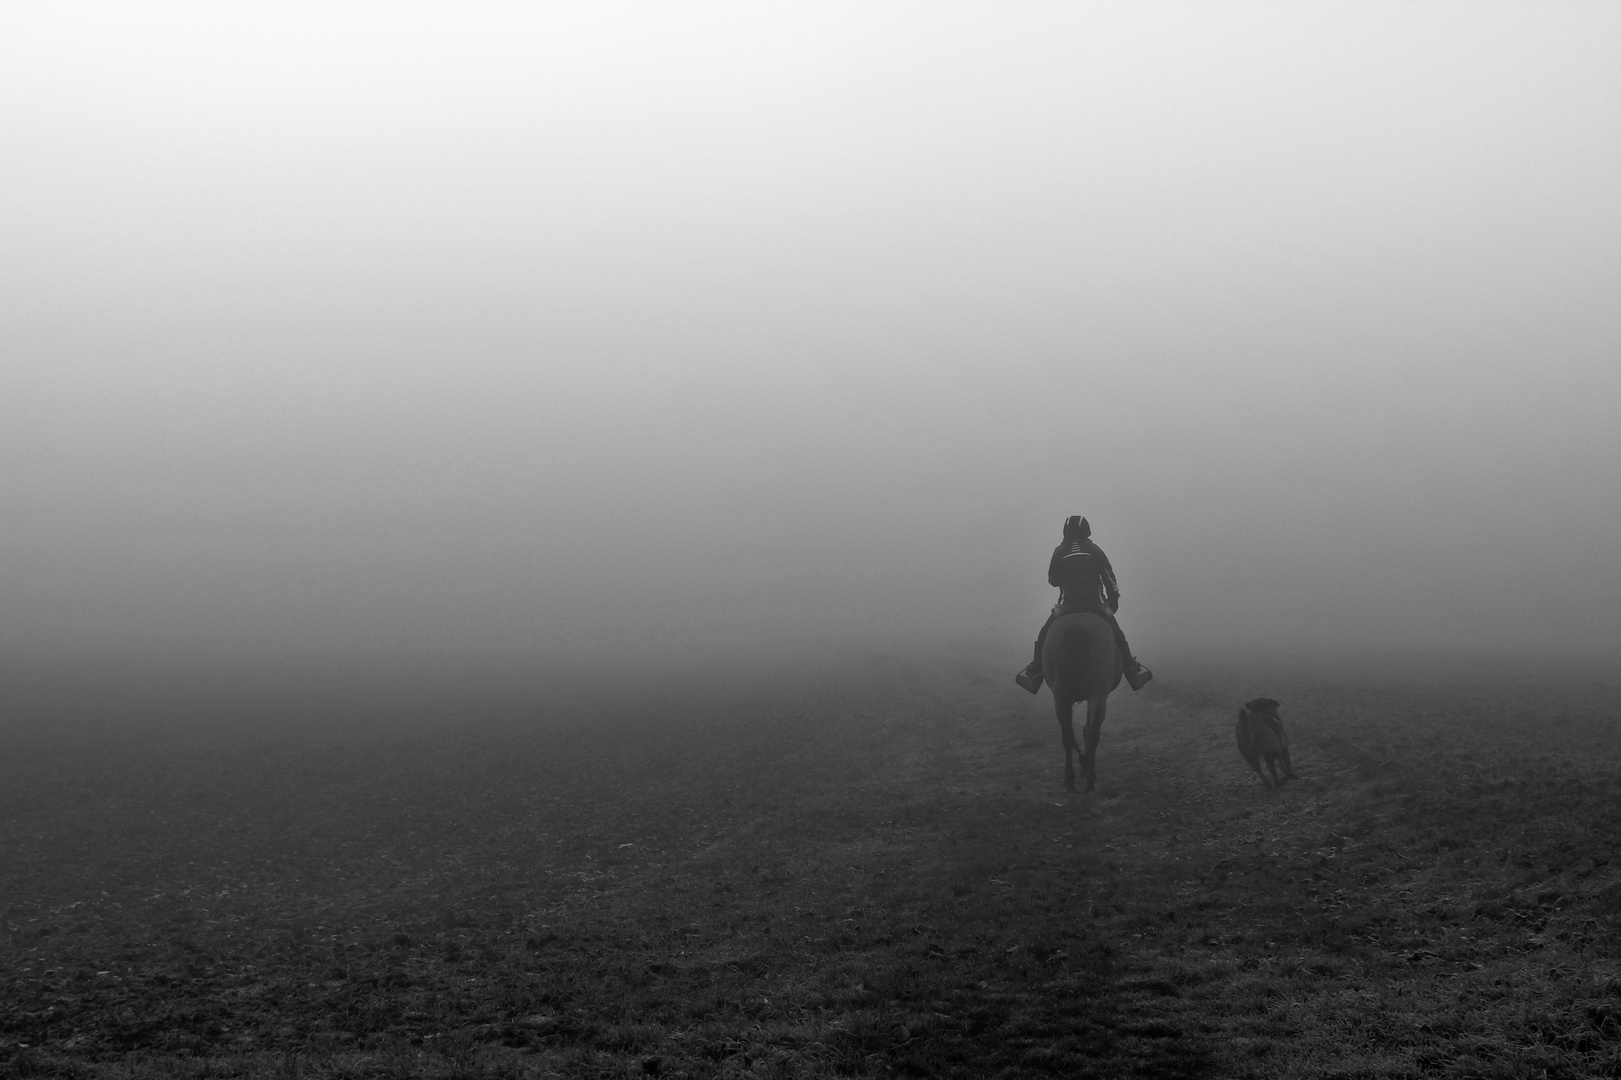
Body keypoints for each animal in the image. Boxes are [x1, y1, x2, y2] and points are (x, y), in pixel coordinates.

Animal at [1037, 612, 1128, 791]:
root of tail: (1077, 627)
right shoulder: (1094, 697)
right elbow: (1086, 730)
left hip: (1062, 698)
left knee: (1067, 736)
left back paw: (1070, 779)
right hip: (1099, 696)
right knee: (1092, 733)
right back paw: (1089, 778)